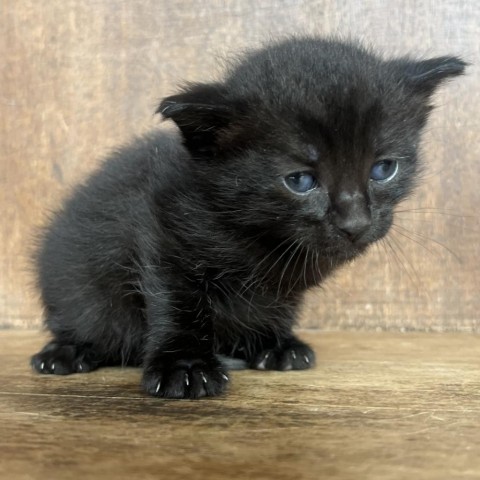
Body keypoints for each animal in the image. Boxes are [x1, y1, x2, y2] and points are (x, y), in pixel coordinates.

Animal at [30, 36, 464, 398]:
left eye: (383, 169)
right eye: (300, 180)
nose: (355, 223)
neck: (257, 236)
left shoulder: (282, 289)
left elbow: (274, 307)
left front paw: (275, 345)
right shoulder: (162, 236)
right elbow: (179, 306)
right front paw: (185, 367)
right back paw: (66, 353)